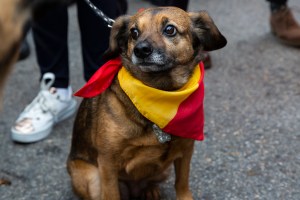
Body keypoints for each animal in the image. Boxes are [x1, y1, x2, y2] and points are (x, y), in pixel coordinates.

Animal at [67, 6, 225, 200]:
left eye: (170, 29)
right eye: (134, 32)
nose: (140, 50)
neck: (161, 95)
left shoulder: (186, 152)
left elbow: (182, 185)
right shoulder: (107, 163)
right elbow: (111, 193)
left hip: (163, 170)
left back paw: (149, 190)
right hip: (92, 178)